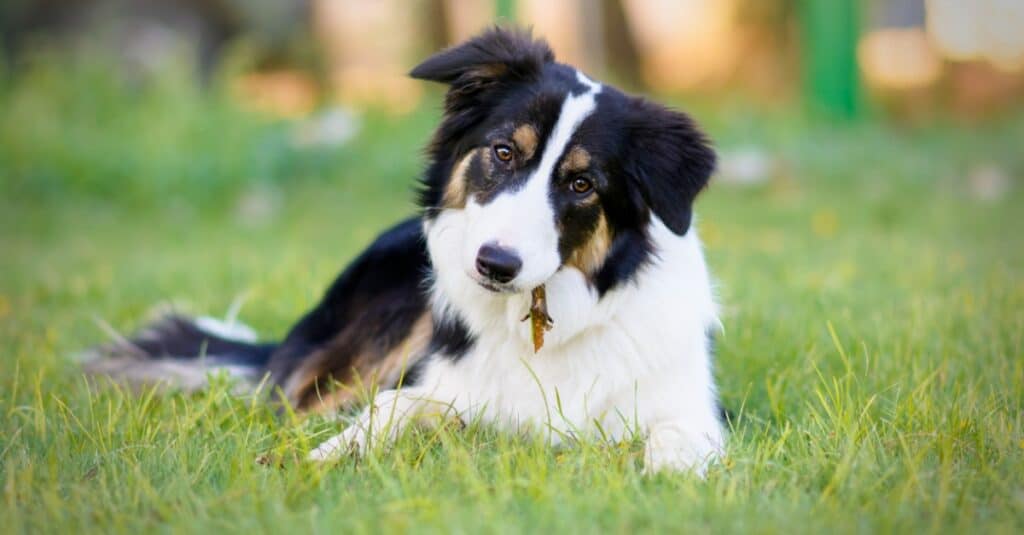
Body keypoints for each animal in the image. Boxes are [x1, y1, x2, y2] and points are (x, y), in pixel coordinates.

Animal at [88, 28, 729, 471]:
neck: (545, 317)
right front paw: (317, 459)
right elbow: (392, 408)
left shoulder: (690, 408)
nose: (495, 265)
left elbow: (675, 446)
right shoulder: (445, 384)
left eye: (581, 184)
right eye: (503, 152)